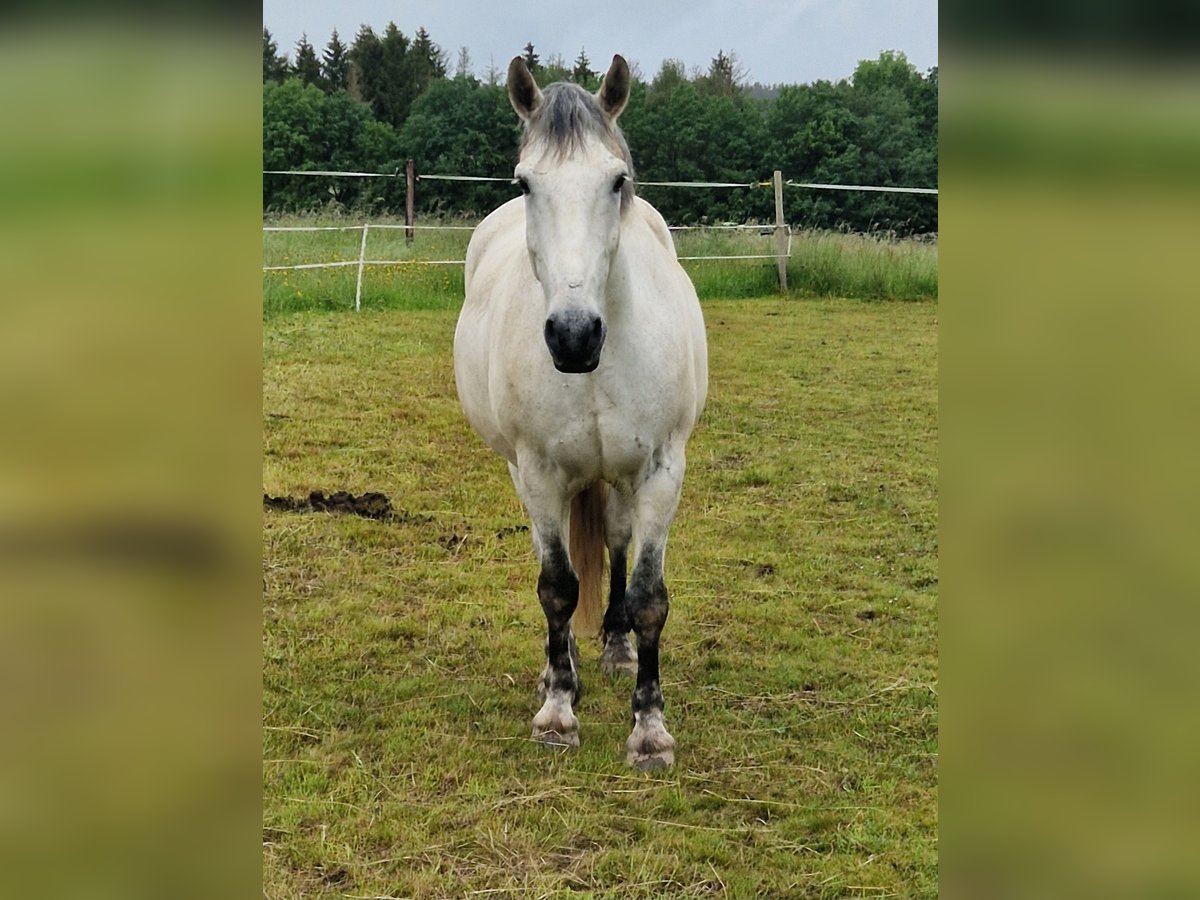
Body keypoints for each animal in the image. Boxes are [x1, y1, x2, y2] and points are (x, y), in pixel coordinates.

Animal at [453, 54, 705, 768]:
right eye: (525, 182)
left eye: (615, 180)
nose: (572, 336)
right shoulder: (538, 471)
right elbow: (557, 586)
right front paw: (559, 711)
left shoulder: (661, 472)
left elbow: (648, 597)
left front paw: (649, 727)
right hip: (528, 473)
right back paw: (555, 668)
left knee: (616, 542)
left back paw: (616, 650)